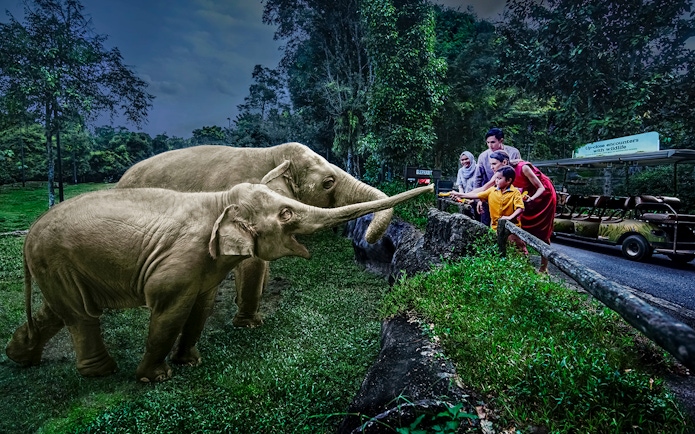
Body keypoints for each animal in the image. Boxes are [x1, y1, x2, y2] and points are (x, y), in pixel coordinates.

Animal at [5, 163, 432, 382]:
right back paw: (102, 373)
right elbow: (169, 311)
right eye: (286, 214)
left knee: (60, 310)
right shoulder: (178, 262)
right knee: (81, 314)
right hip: (55, 259)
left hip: (56, 265)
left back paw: (19, 357)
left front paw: (189, 362)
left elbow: (202, 306)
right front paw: (156, 378)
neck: (220, 201)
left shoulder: (204, 266)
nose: (428, 187)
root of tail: (29, 236)